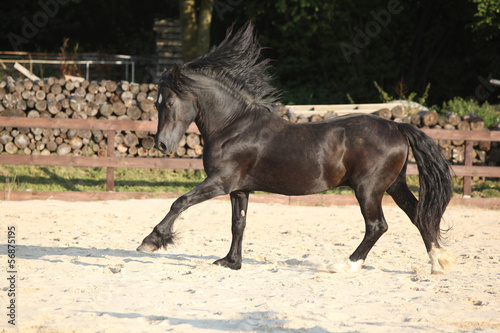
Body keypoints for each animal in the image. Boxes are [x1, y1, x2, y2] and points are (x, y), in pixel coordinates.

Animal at [137, 22, 454, 274]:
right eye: (155, 103)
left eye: (169, 102)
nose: (161, 144)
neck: (233, 126)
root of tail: (396, 126)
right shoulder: (240, 189)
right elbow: (238, 224)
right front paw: (231, 262)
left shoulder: (220, 182)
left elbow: (180, 201)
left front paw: (150, 241)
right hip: (393, 185)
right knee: (418, 214)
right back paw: (438, 263)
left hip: (369, 189)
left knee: (378, 225)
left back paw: (346, 265)